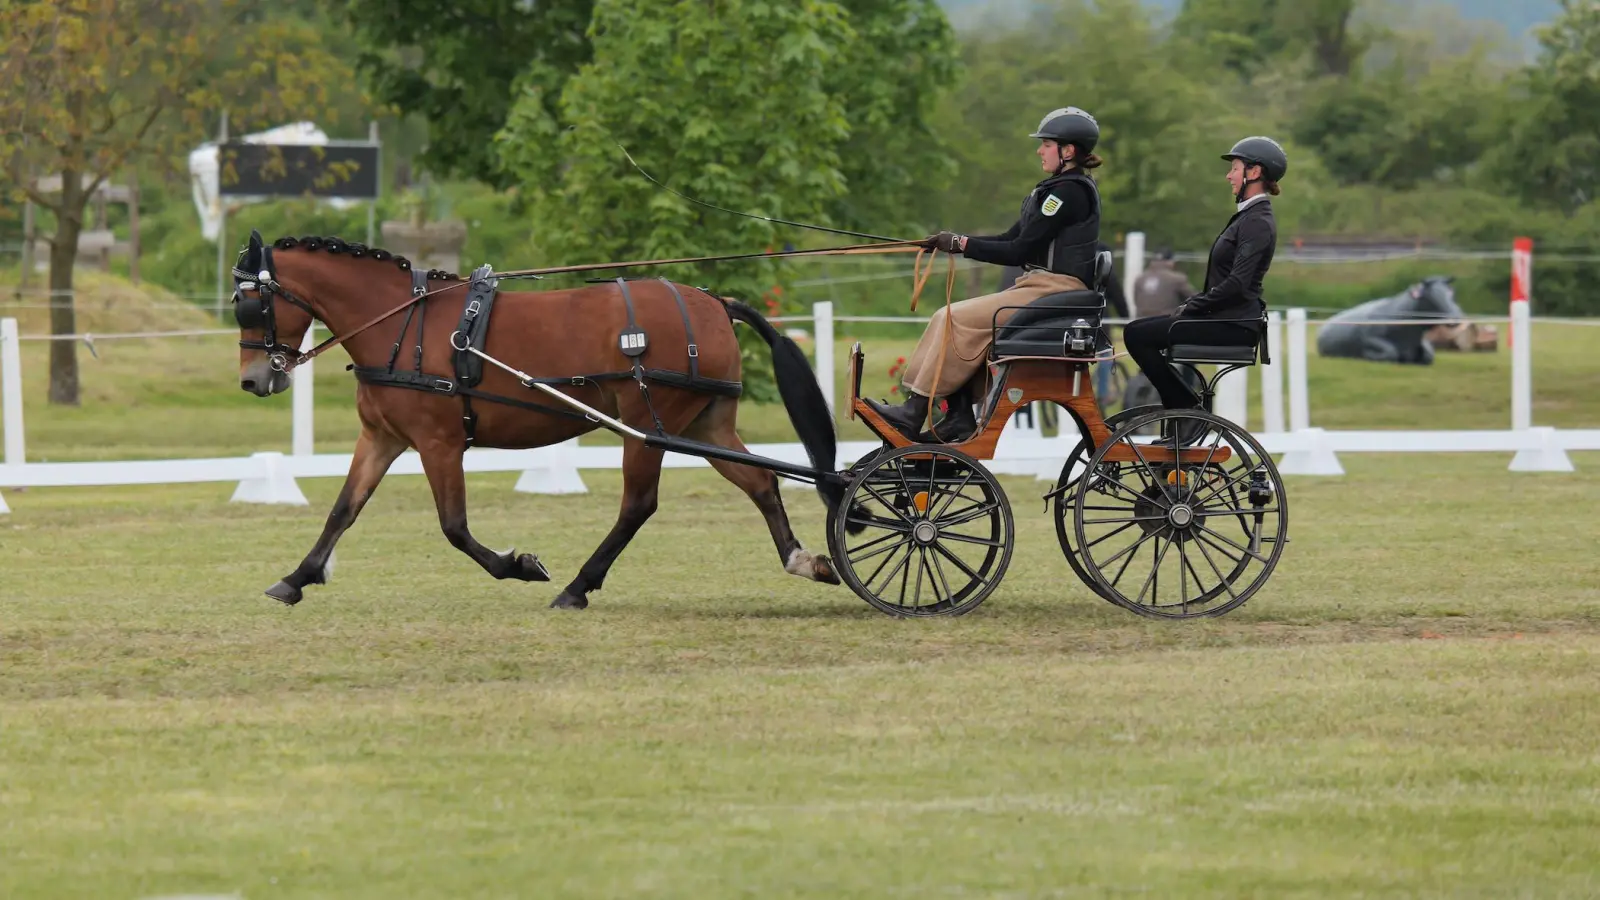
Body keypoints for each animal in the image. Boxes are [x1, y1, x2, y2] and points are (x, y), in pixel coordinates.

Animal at [232, 229, 851, 608]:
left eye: (248, 303)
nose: (253, 381)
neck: (401, 323)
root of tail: (715, 303)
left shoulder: (438, 443)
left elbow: (454, 527)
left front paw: (520, 565)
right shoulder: (382, 437)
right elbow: (344, 509)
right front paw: (297, 577)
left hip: (647, 427)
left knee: (638, 505)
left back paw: (579, 585)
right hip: (704, 423)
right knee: (760, 480)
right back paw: (804, 560)